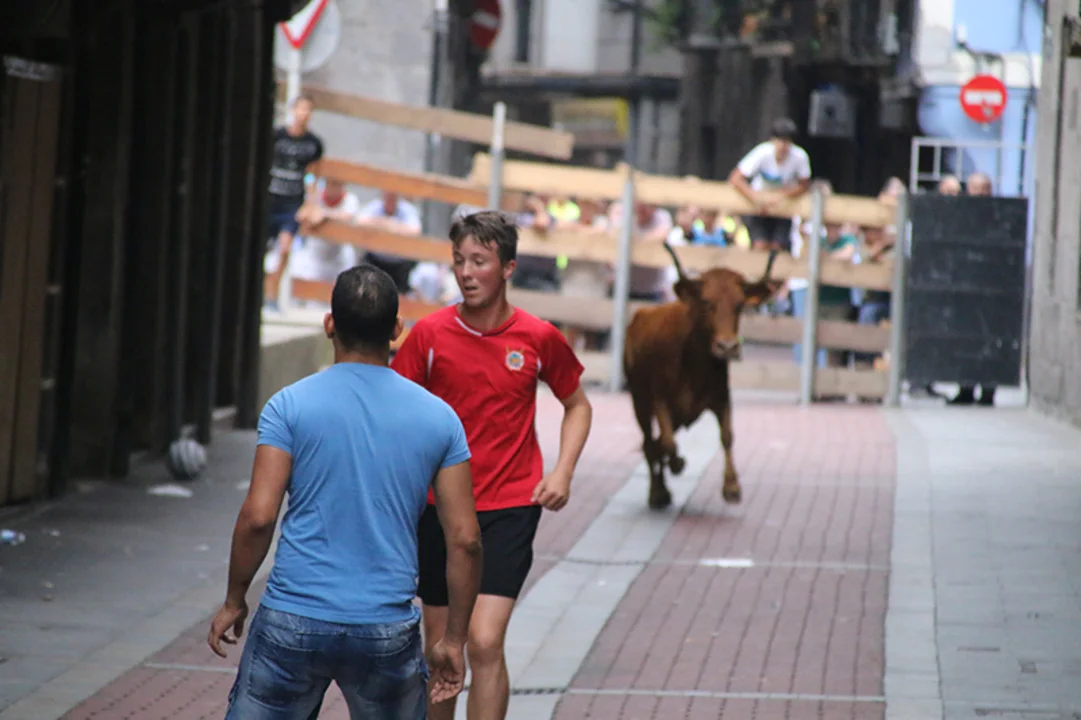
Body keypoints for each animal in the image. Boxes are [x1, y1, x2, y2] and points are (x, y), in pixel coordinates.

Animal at [623, 243, 782, 509]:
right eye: (707, 302)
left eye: (740, 304)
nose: (727, 347)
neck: (694, 364)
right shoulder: (659, 400)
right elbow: (667, 442)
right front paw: (676, 466)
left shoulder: (722, 398)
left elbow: (727, 436)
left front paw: (732, 487)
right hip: (639, 402)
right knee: (649, 442)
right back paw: (657, 492)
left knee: (655, 443)